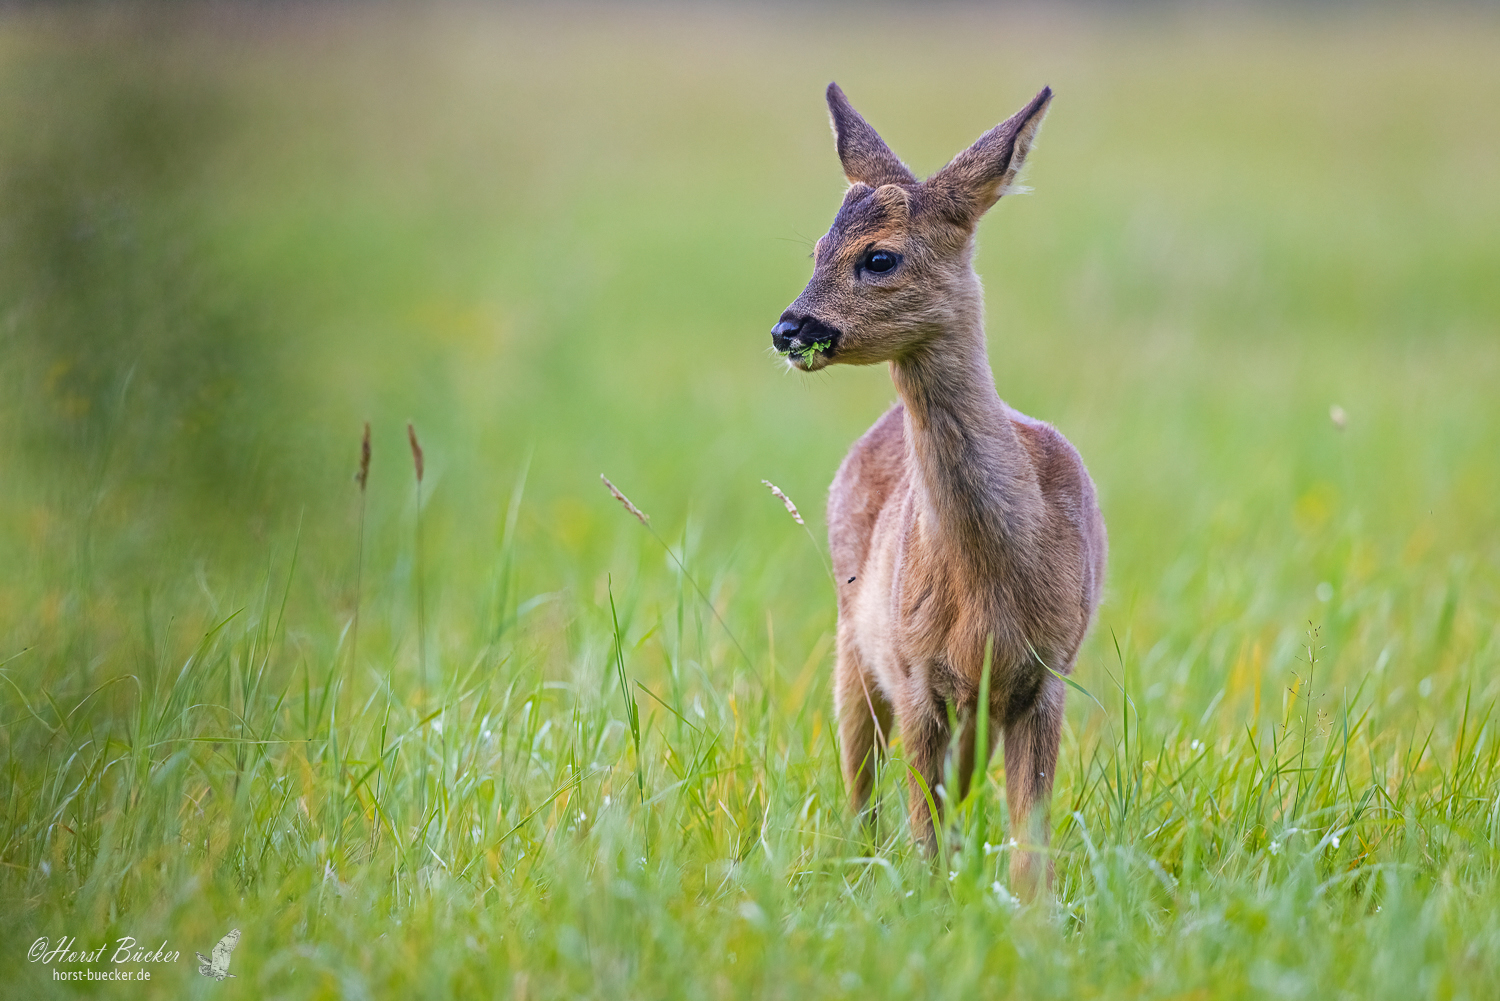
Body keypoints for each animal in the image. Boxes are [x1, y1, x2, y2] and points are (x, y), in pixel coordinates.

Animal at [774, 84, 1104, 900]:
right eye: (816, 251)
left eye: (879, 256)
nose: (789, 329)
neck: (995, 571)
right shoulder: (918, 671)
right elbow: (923, 828)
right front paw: (929, 904)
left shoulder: (1046, 673)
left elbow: (1029, 840)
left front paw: (1031, 915)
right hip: (853, 638)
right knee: (861, 784)